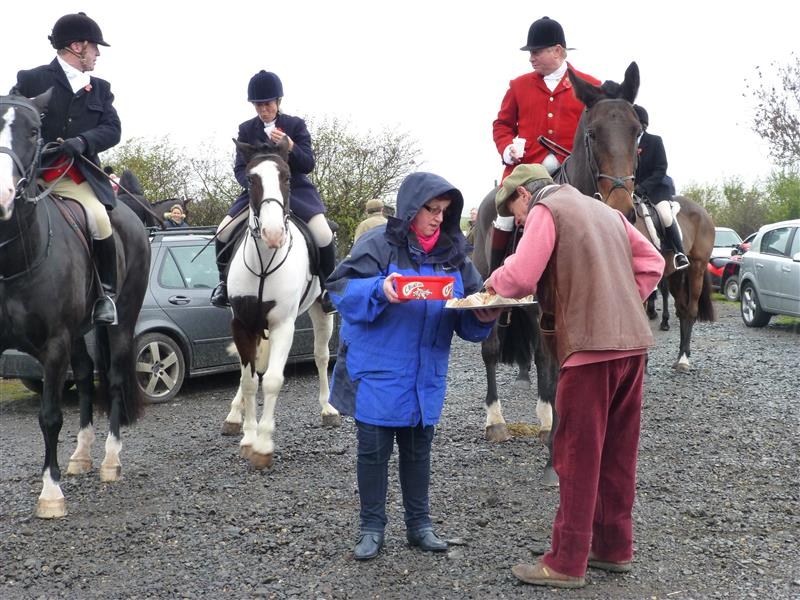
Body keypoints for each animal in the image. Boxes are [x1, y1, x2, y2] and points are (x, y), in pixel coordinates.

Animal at [0, 91, 150, 518]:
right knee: (84, 376)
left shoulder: (53, 345)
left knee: (111, 378)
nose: (1, 196)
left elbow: (50, 416)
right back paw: (81, 455)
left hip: (120, 321)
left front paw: (50, 494)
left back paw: (110, 460)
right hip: (79, 332)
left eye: (34, 131)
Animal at [220, 137, 339, 469]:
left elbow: (272, 380)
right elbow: (249, 380)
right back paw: (233, 416)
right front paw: (248, 438)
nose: (273, 234)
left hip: (321, 313)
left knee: (321, 356)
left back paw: (328, 409)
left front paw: (262, 445)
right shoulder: (241, 323)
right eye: (250, 179)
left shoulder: (283, 324)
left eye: (286, 176)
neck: (264, 261)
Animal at [565, 62, 715, 372]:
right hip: (674, 274)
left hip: (695, 266)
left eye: (636, 133)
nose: (620, 210)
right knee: (682, 308)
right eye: (592, 133)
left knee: (691, 310)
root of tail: (701, 211)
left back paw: (684, 358)